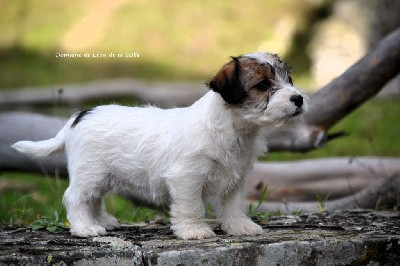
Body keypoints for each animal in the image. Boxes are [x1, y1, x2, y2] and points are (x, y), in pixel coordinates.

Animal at [11, 53, 306, 240]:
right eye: (263, 84)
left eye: (289, 80)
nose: (299, 98)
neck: (233, 129)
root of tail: (80, 115)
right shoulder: (187, 179)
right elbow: (191, 207)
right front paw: (194, 231)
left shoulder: (235, 180)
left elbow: (233, 206)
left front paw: (240, 227)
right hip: (89, 173)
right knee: (75, 197)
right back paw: (85, 228)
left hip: (102, 177)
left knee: (93, 200)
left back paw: (102, 222)